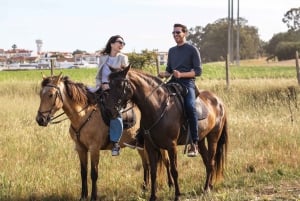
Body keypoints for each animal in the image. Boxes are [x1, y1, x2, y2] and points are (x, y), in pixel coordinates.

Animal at [35, 74, 172, 201]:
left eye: (51, 95)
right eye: (40, 94)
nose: (40, 119)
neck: (83, 116)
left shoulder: (94, 149)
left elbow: (94, 173)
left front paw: (93, 197)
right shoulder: (81, 149)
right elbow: (83, 172)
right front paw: (83, 196)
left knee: (166, 161)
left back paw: (170, 185)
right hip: (140, 145)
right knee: (146, 164)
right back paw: (144, 189)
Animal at [104, 66, 229, 201]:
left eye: (120, 85)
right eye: (109, 85)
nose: (109, 111)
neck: (157, 108)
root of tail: (218, 101)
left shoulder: (171, 146)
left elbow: (174, 170)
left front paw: (177, 195)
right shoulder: (150, 146)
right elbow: (153, 171)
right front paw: (153, 196)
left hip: (213, 137)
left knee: (211, 161)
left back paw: (206, 189)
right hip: (200, 140)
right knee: (207, 162)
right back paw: (209, 186)